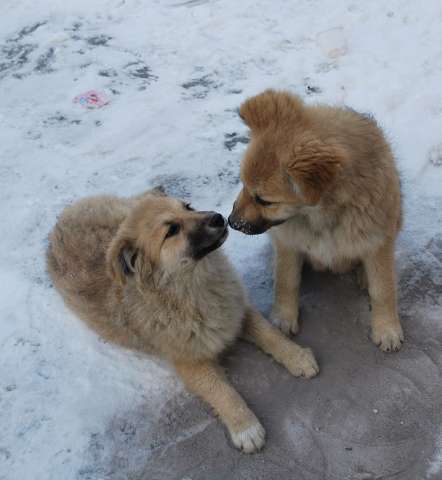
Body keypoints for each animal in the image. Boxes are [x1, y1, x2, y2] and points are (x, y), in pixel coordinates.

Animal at [46, 188, 320, 454]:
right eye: (172, 231)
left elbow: (269, 333)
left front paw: (297, 357)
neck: (194, 287)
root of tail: (62, 218)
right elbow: (221, 390)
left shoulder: (237, 310)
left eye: (188, 207)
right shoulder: (189, 361)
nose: (219, 218)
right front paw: (246, 427)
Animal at [230, 90, 406, 352]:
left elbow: (383, 289)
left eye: (264, 200)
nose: (230, 222)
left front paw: (387, 329)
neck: (322, 214)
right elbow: (286, 280)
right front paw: (283, 318)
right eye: (242, 184)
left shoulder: (378, 240)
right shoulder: (289, 242)